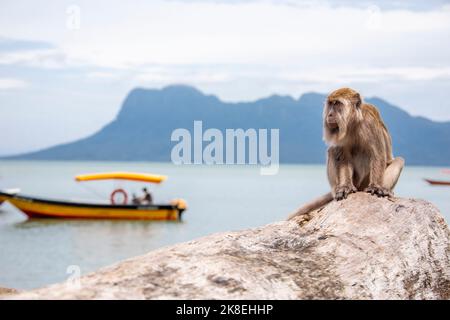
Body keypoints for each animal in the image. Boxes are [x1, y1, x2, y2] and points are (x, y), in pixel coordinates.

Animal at [288, 89, 404, 221]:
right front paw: (345, 187)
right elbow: (343, 158)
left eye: (337, 104)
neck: (354, 123)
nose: (330, 115)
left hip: (364, 182)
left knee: (398, 160)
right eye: (330, 104)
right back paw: (336, 191)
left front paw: (376, 186)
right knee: (332, 151)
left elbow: (378, 155)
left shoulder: (370, 124)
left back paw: (385, 190)